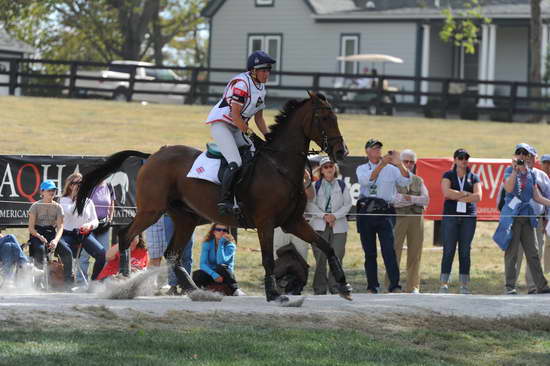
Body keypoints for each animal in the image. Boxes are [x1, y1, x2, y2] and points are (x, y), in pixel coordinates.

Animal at [76, 92, 354, 304]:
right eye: (325, 118)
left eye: (335, 117)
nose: (342, 151)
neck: (279, 166)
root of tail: (153, 155)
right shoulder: (266, 223)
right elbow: (267, 258)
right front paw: (274, 294)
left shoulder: (293, 222)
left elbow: (326, 246)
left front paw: (344, 286)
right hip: (151, 210)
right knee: (126, 236)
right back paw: (123, 283)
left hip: (186, 217)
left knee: (173, 253)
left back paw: (196, 291)